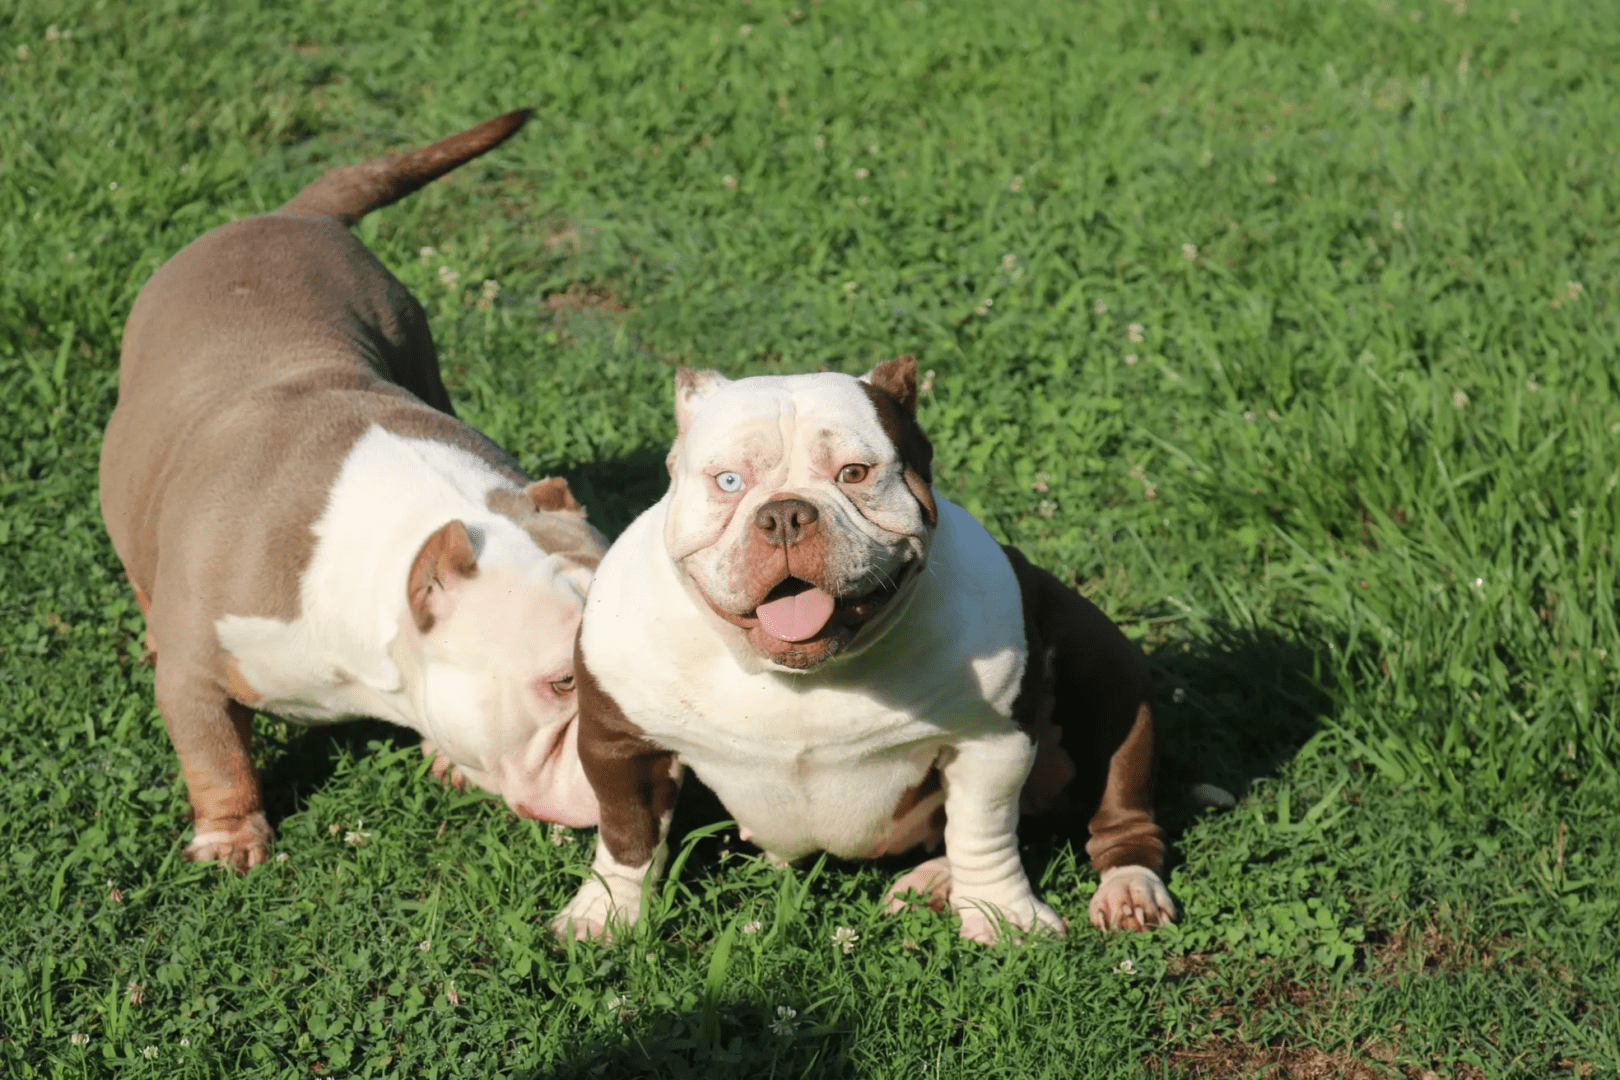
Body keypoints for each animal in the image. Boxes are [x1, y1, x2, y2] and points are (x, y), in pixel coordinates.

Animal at [557, 359, 1179, 939]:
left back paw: (1127, 890)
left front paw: (1001, 916)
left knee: (1119, 813)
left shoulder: (992, 741)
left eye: (854, 473)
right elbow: (628, 835)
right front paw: (605, 914)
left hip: (1108, 673)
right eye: (729, 481)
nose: (784, 513)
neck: (798, 675)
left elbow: (983, 832)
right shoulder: (620, 743)